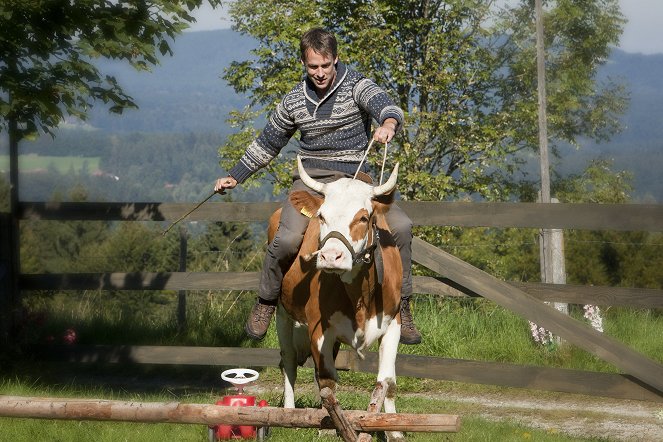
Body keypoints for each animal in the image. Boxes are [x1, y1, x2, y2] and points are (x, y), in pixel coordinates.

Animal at [270, 155, 404, 438]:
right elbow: (328, 381)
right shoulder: (319, 330)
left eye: (363, 218)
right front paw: (330, 427)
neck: (361, 295)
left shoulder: (393, 324)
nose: (331, 256)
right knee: (289, 361)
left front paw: (393, 429)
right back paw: (288, 412)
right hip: (283, 314)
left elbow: (387, 381)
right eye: (321, 216)